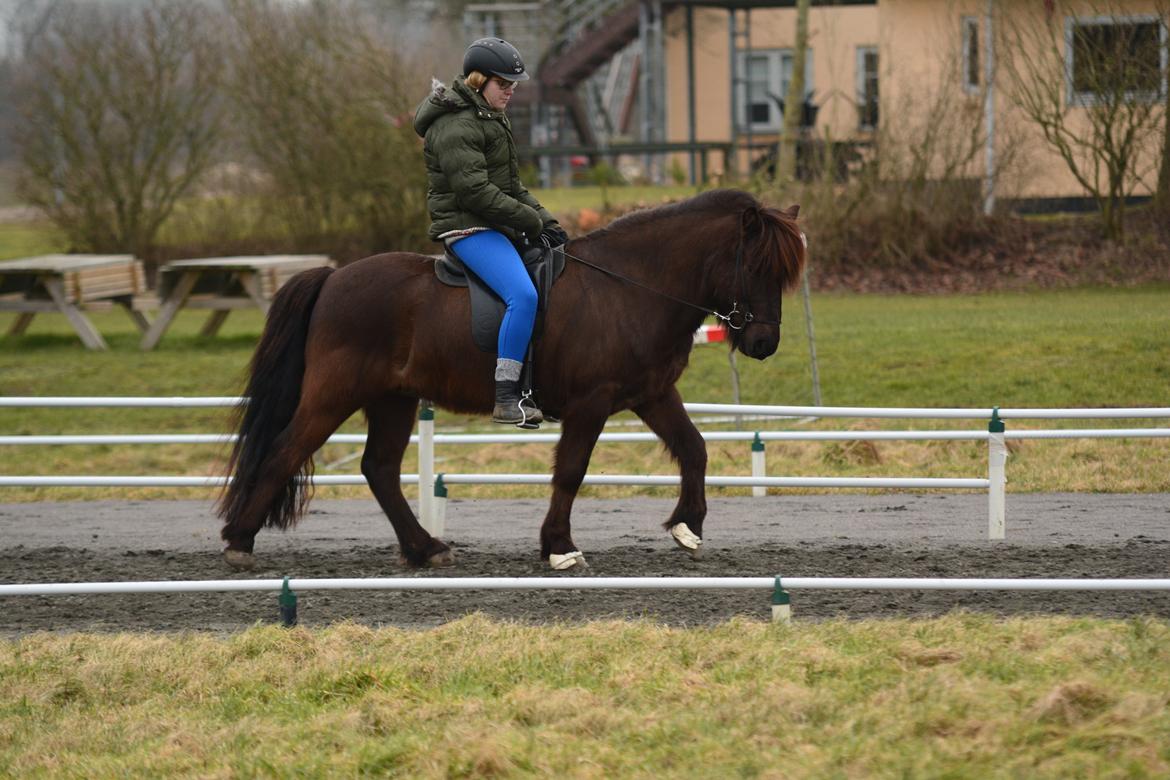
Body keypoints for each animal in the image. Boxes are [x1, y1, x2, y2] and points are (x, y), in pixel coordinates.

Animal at [217, 187, 804, 568]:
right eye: (757, 267)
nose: (763, 344)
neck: (631, 286)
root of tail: (334, 277)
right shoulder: (592, 404)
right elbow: (571, 471)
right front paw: (559, 547)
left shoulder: (651, 393)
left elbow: (694, 448)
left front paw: (688, 527)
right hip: (333, 396)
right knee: (285, 452)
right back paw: (240, 542)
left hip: (393, 399)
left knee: (378, 469)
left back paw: (425, 549)